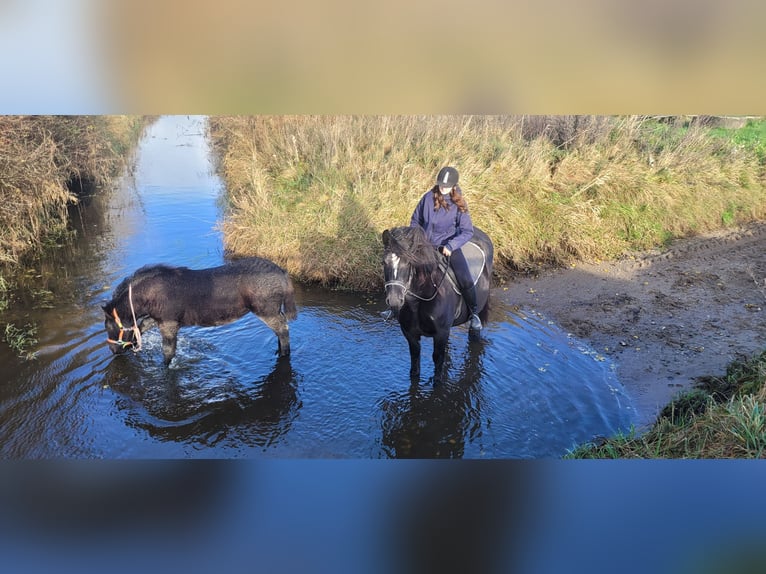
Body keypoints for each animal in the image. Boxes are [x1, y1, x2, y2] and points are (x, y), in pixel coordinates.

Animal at [100, 258, 296, 366]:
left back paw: (284, 353)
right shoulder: (158, 319)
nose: (113, 350)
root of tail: (283, 274)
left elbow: (168, 353)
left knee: (283, 329)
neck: (148, 296)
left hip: (265, 311)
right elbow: (140, 327)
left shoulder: (169, 324)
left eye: (108, 326)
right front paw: (134, 342)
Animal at [380, 225, 496, 382]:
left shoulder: (441, 333)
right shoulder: (410, 334)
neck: (419, 301)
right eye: (384, 262)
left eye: (409, 263)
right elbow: (415, 364)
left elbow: (438, 363)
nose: (394, 300)